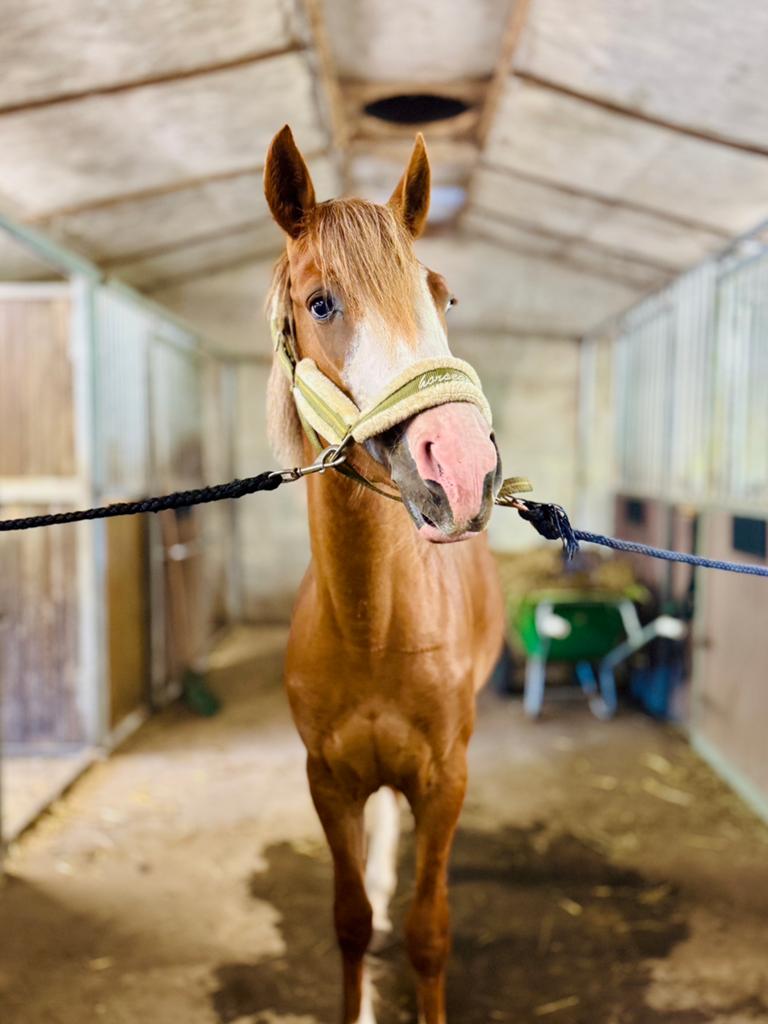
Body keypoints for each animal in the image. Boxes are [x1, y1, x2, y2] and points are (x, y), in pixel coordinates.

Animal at [263, 125, 505, 1024]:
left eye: (443, 297)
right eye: (320, 303)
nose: (463, 468)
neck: (372, 628)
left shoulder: (444, 780)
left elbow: (431, 932)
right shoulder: (328, 783)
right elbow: (353, 920)